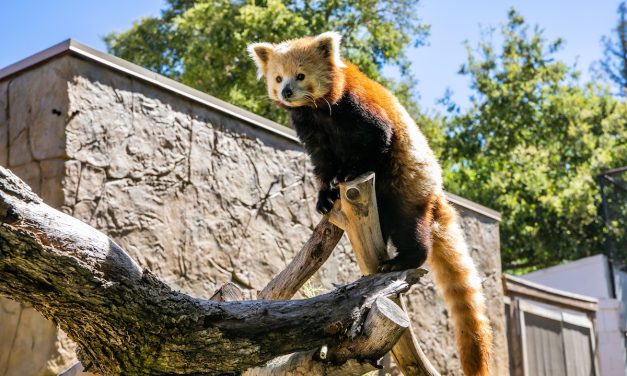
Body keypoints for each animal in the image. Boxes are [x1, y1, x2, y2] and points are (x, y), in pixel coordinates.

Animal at [248, 31, 494, 376]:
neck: (320, 110)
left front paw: (350, 172)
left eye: (300, 76)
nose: (286, 91)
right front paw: (325, 194)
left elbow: (378, 140)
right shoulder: (310, 127)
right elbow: (322, 163)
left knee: (410, 228)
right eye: (278, 77)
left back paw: (403, 259)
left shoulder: (357, 109)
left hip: (406, 191)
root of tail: (436, 194)